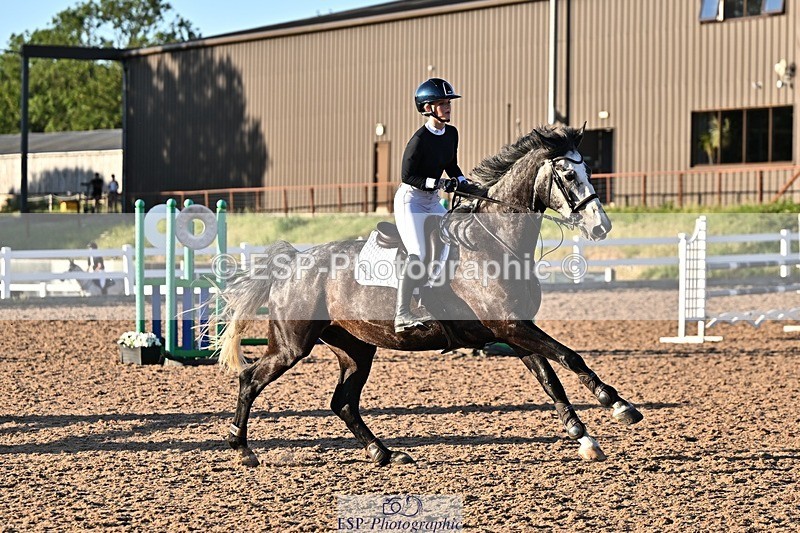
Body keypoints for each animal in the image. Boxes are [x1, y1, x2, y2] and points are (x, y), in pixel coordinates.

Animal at [217, 124, 643, 467]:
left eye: (589, 171)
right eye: (568, 173)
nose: (601, 227)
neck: (496, 241)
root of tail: (293, 262)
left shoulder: (514, 331)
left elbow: (551, 378)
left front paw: (585, 438)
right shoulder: (511, 326)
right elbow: (569, 357)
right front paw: (617, 405)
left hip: (355, 349)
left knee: (343, 402)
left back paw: (383, 453)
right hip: (292, 345)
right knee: (251, 379)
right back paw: (242, 449)